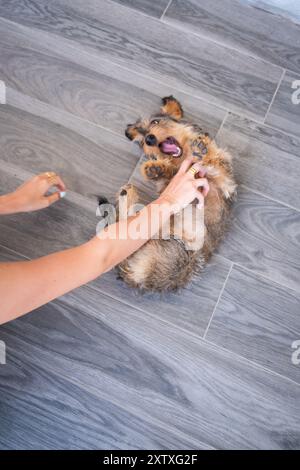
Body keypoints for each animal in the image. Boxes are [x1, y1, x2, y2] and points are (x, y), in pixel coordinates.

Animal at [115, 97, 237, 292]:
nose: (149, 139)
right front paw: (156, 169)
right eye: (142, 143)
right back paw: (127, 193)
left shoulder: (225, 182)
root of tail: (136, 276)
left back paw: (127, 193)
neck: (183, 159)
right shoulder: (168, 187)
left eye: (155, 122)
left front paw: (202, 147)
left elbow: (216, 162)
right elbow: (170, 175)